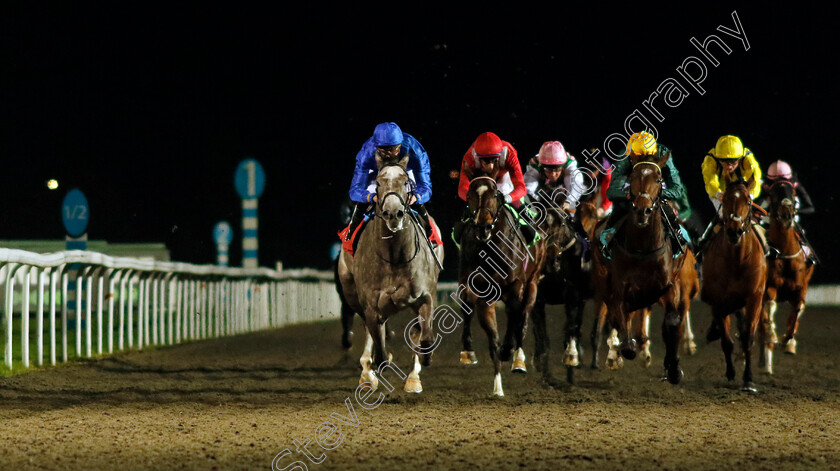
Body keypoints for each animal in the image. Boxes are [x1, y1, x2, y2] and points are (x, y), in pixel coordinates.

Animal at [456, 177, 548, 398]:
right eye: (469, 195)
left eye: (495, 195)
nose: (483, 227)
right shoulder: (480, 292)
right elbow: (490, 335)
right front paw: (497, 385)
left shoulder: (516, 286)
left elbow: (515, 315)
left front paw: (508, 350)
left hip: (532, 283)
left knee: (523, 315)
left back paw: (518, 358)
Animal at [588, 153, 692, 386]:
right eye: (632, 176)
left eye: (659, 178)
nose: (642, 209)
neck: (643, 247)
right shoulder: (619, 288)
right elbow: (623, 326)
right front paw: (624, 350)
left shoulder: (668, 285)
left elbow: (672, 322)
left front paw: (674, 368)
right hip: (602, 281)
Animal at [704, 179, 768, 392]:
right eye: (725, 200)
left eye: (748, 201)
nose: (734, 230)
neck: (737, 260)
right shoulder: (718, 302)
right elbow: (727, 341)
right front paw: (731, 373)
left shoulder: (754, 299)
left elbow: (748, 337)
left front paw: (748, 378)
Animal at [756, 179, 812, 374]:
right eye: (773, 193)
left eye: (793, 193)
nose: (787, 213)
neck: (786, 254)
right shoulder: (769, 288)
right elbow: (769, 310)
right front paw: (772, 337)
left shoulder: (801, 288)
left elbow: (798, 309)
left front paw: (788, 341)